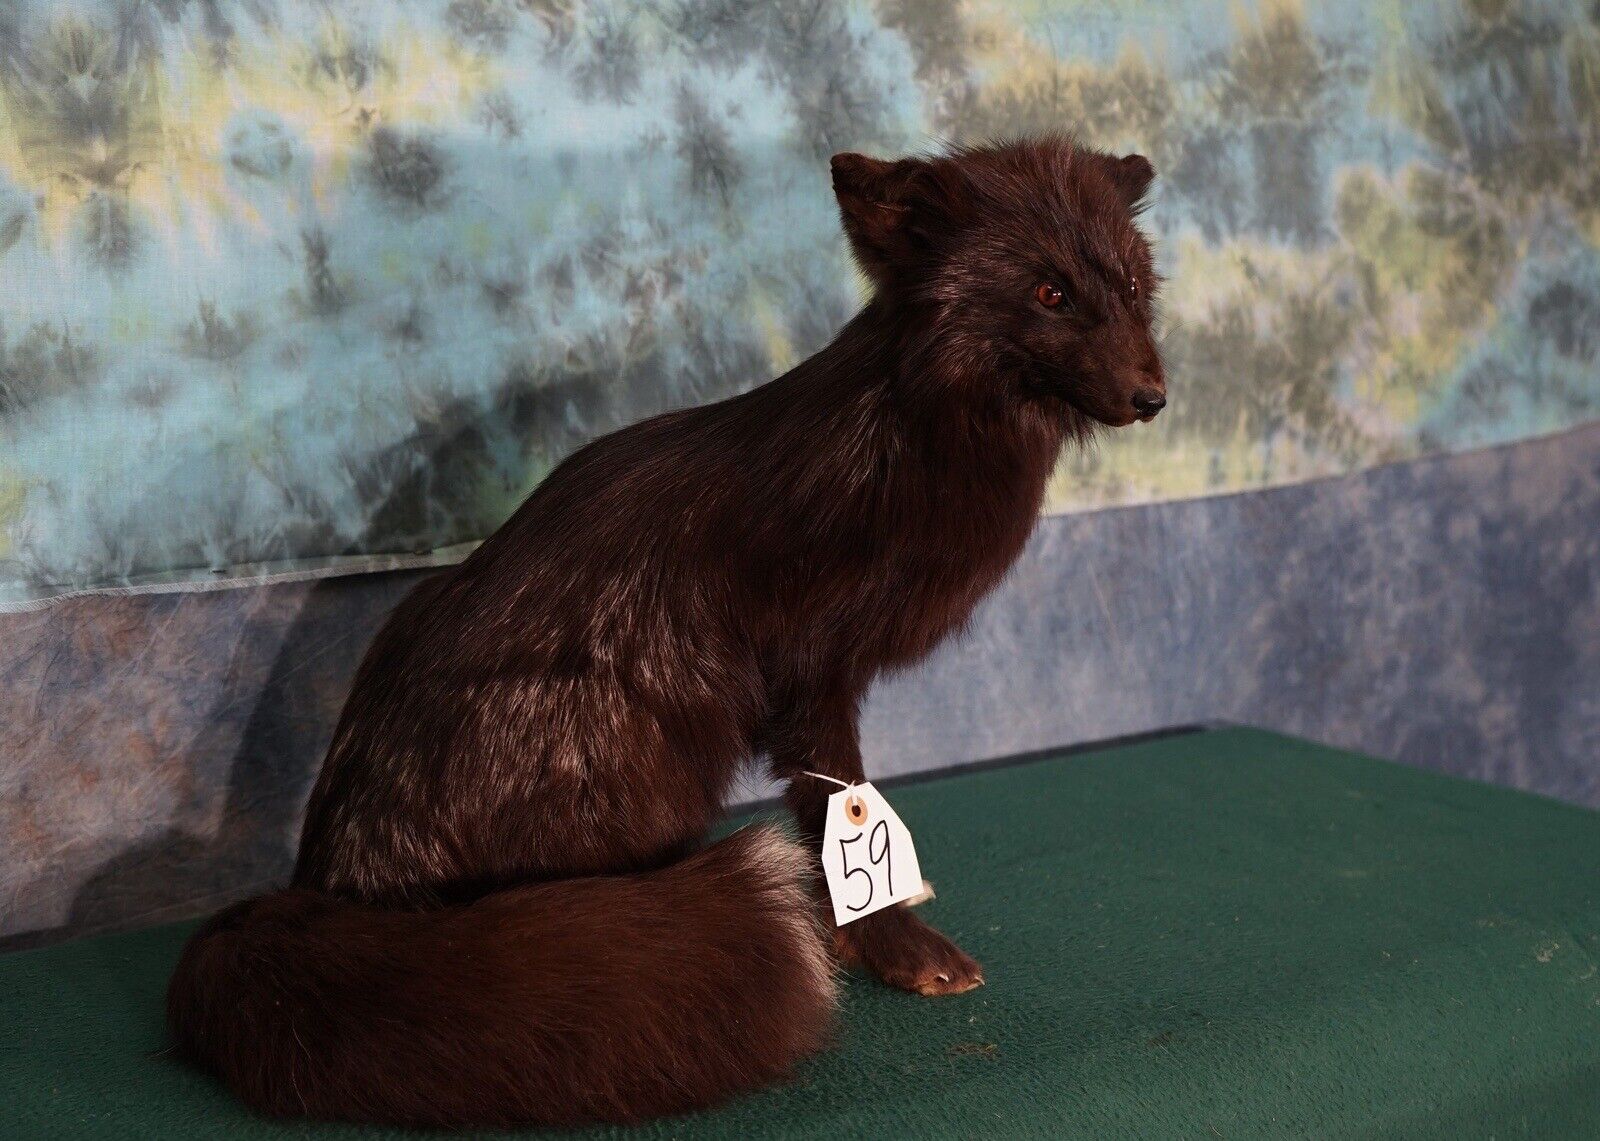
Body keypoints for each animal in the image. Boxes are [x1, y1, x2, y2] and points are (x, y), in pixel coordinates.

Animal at [167, 135, 1166, 1129]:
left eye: (1130, 284)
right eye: (1048, 293)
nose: (1153, 395)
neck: (897, 443)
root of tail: (325, 883)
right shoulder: (808, 676)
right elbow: (838, 806)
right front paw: (885, 939)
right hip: (651, 756)